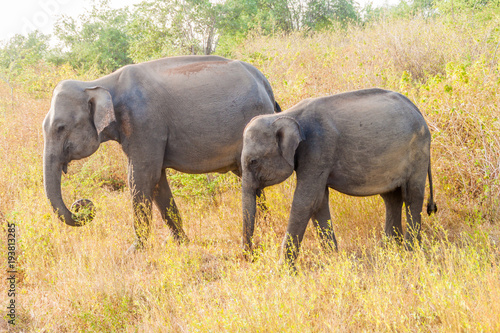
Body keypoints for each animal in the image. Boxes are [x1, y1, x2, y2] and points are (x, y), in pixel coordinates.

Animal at [41, 55, 280, 252]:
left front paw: (134, 251)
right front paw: (181, 243)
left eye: (60, 127)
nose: (82, 206)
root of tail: (264, 82)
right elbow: (157, 182)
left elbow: (142, 177)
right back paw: (266, 228)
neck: (98, 83)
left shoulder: (144, 123)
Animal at [242, 88, 438, 268]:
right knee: (391, 197)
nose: (250, 257)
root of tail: (417, 110)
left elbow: (305, 201)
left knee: (412, 196)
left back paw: (410, 251)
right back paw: (389, 250)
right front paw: (333, 259)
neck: (285, 116)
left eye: (253, 161)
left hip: (418, 151)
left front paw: (283, 269)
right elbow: (319, 201)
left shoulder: (318, 149)